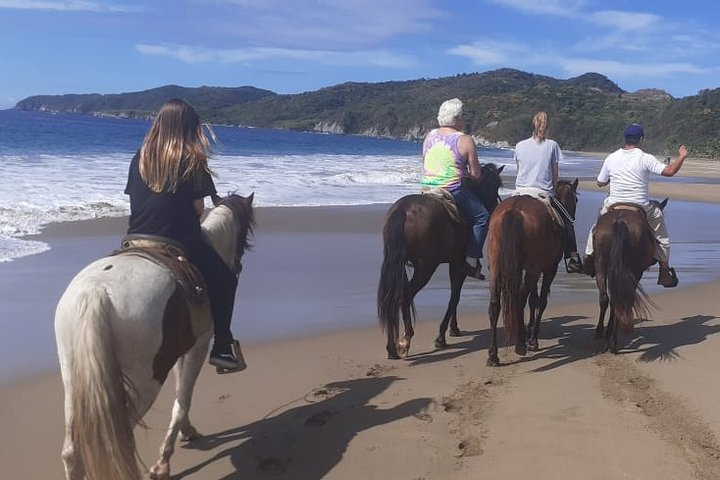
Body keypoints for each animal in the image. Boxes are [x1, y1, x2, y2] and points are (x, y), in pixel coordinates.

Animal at [54, 193, 255, 478]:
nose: (237, 265)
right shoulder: (199, 345)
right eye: (246, 231)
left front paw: (187, 432)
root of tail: (96, 292)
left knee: (72, 450)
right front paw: (163, 462)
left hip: (73, 379)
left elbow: (181, 391)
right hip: (145, 379)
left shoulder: (182, 349)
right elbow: (183, 398)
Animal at [380, 163, 504, 358]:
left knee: (392, 297)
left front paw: (453, 329)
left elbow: (455, 296)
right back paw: (405, 340)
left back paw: (392, 348)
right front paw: (442, 335)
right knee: (405, 296)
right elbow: (455, 296)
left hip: (397, 264)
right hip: (426, 267)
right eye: (495, 185)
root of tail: (403, 211)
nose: (495, 208)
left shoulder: (454, 264)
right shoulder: (458, 265)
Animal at [484, 178, 580, 366]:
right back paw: (520, 345)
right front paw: (532, 339)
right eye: (576, 200)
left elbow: (533, 300)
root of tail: (514, 210)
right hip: (533, 269)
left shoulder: (530, 269)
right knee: (519, 299)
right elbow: (540, 301)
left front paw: (529, 335)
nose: (571, 218)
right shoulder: (549, 269)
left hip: (497, 266)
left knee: (495, 304)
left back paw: (493, 354)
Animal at [588, 198, 668, 352]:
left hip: (601, 263)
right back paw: (613, 341)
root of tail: (620, 221)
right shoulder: (637, 272)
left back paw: (600, 337)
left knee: (605, 298)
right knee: (620, 298)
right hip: (634, 269)